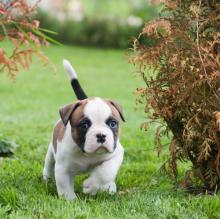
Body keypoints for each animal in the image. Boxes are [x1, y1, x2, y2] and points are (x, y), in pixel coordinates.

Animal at [43, 59, 124, 200]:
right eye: (84, 125)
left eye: (113, 124)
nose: (101, 135)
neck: (87, 153)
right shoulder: (63, 169)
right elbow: (65, 188)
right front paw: (70, 201)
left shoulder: (116, 153)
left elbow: (106, 171)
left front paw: (91, 186)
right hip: (51, 153)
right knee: (48, 163)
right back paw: (47, 178)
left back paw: (109, 188)